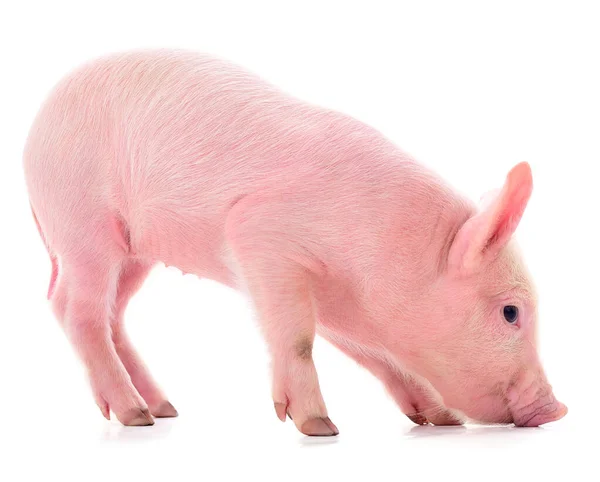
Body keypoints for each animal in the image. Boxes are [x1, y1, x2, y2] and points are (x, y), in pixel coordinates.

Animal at [22, 49, 568, 434]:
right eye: (511, 312)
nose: (557, 409)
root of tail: (32, 138)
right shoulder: (259, 234)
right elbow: (298, 337)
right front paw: (318, 426)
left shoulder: (341, 306)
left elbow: (374, 354)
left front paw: (439, 421)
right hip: (84, 225)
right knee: (76, 310)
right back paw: (136, 416)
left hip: (133, 253)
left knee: (107, 314)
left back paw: (166, 408)